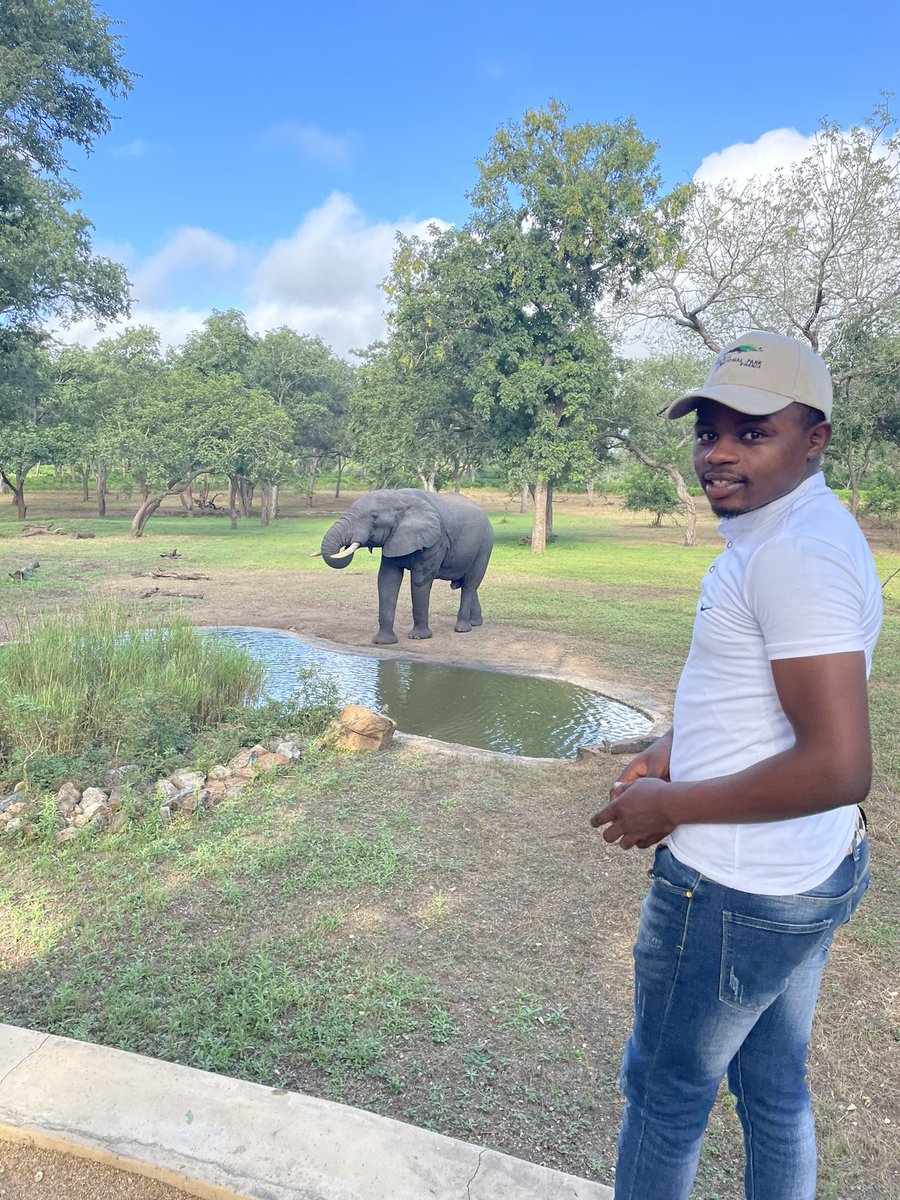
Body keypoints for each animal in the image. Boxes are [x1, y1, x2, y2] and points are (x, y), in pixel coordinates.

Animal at [315, 488, 493, 644]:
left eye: (374, 517)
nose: (347, 544)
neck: (400, 497)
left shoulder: (435, 541)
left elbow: (420, 581)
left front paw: (418, 637)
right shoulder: (393, 539)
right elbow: (387, 579)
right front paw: (383, 642)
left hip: (484, 546)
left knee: (470, 584)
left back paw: (462, 628)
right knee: (468, 585)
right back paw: (475, 623)